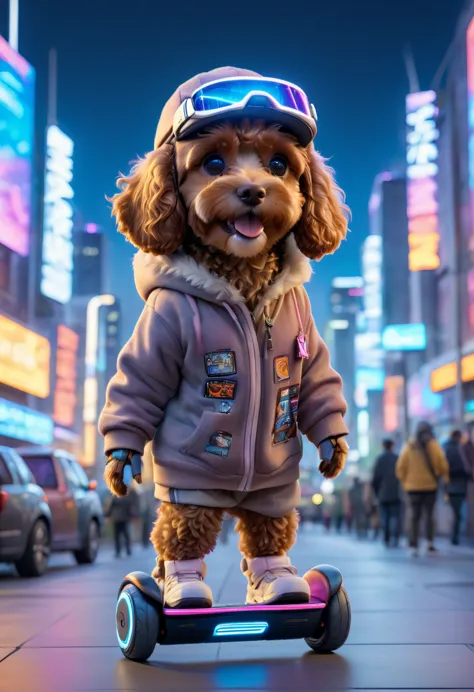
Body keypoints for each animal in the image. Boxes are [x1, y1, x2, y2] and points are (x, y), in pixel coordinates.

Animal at [102, 85, 350, 604]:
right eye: (213, 163)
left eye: (278, 164)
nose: (253, 190)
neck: (242, 281)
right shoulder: (163, 322)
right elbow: (140, 383)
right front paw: (121, 458)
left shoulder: (306, 326)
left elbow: (318, 379)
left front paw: (334, 444)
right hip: (191, 486)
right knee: (184, 528)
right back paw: (180, 587)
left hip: (269, 487)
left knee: (265, 523)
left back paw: (280, 584)